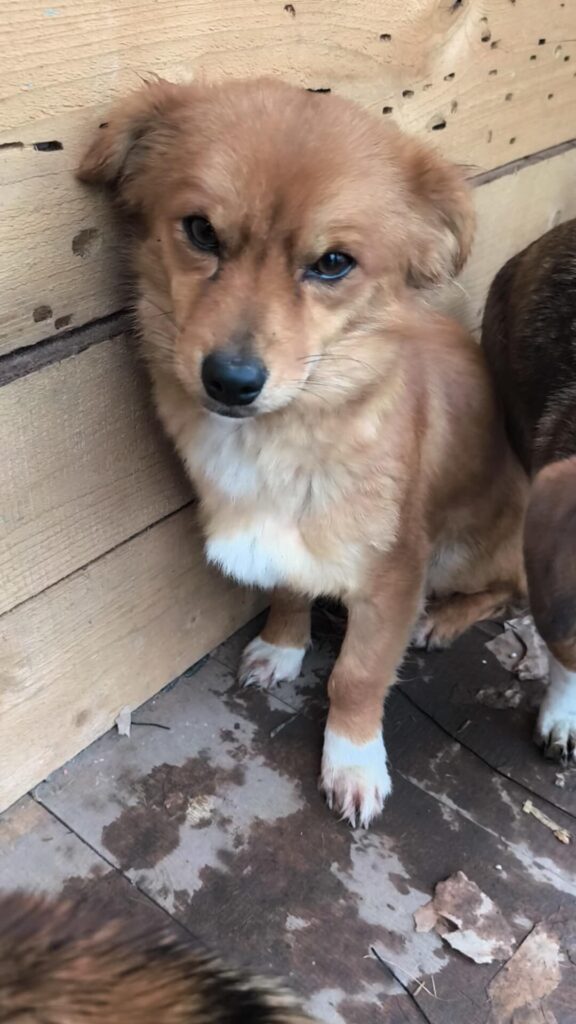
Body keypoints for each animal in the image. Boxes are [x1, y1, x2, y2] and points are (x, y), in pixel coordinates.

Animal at [78, 77, 527, 826]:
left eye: (333, 263)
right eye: (201, 230)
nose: (230, 380)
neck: (283, 436)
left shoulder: (393, 575)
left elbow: (358, 675)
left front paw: (353, 762)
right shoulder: (285, 537)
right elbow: (288, 587)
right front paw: (284, 646)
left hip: (469, 549)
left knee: (504, 588)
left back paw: (446, 617)